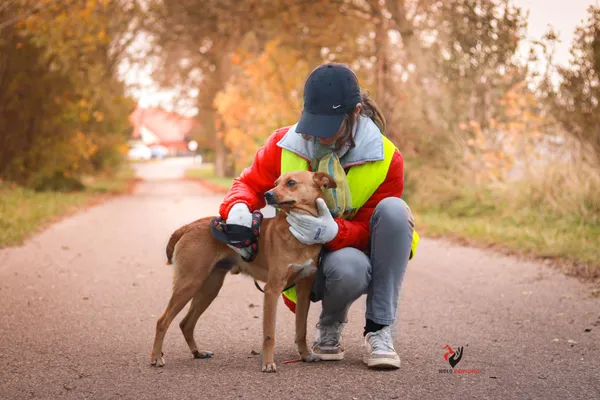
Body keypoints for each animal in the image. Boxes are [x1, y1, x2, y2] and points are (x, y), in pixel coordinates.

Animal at [150, 170, 338, 372]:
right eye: (275, 183)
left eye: (291, 182)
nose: (267, 194)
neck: (298, 233)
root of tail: (188, 226)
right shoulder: (272, 289)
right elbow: (269, 334)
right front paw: (268, 363)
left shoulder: (304, 290)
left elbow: (301, 329)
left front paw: (304, 355)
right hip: (189, 283)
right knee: (162, 321)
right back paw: (156, 357)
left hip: (209, 288)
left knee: (186, 323)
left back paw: (197, 352)